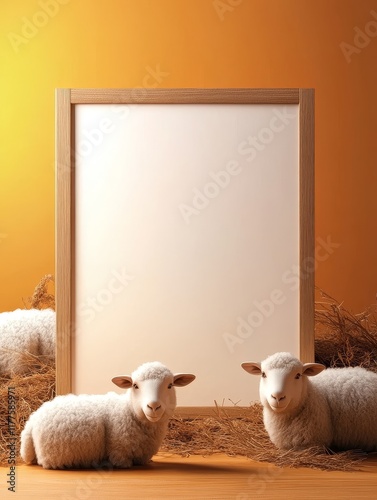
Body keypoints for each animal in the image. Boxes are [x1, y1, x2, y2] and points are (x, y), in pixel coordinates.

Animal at [20, 360, 195, 468]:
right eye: (135, 386)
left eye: (170, 385)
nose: (153, 406)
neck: (128, 410)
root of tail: (32, 420)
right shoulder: (120, 453)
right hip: (53, 454)